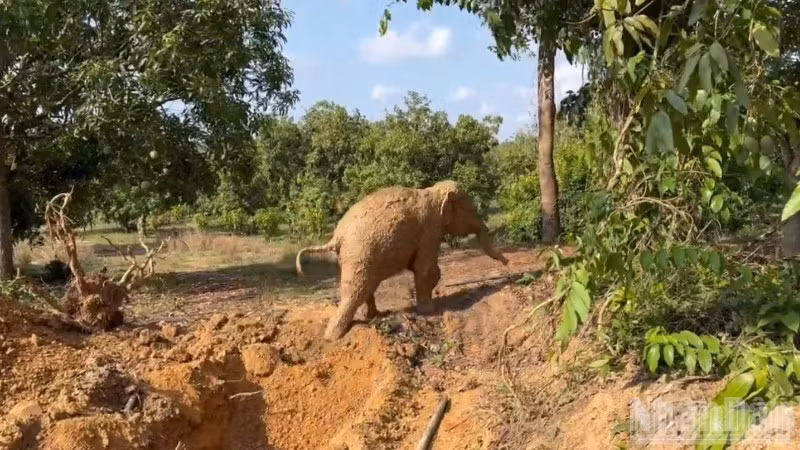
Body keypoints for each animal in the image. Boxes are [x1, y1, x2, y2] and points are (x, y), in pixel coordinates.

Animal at [295, 180, 508, 341]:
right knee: (355, 291)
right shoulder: (430, 229)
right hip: (359, 254)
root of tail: (336, 237)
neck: (432, 192)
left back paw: (374, 315)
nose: (507, 264)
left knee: (367, 287)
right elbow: (425, 269)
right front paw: (429, 310)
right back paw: (333, 337)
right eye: (472, 209)